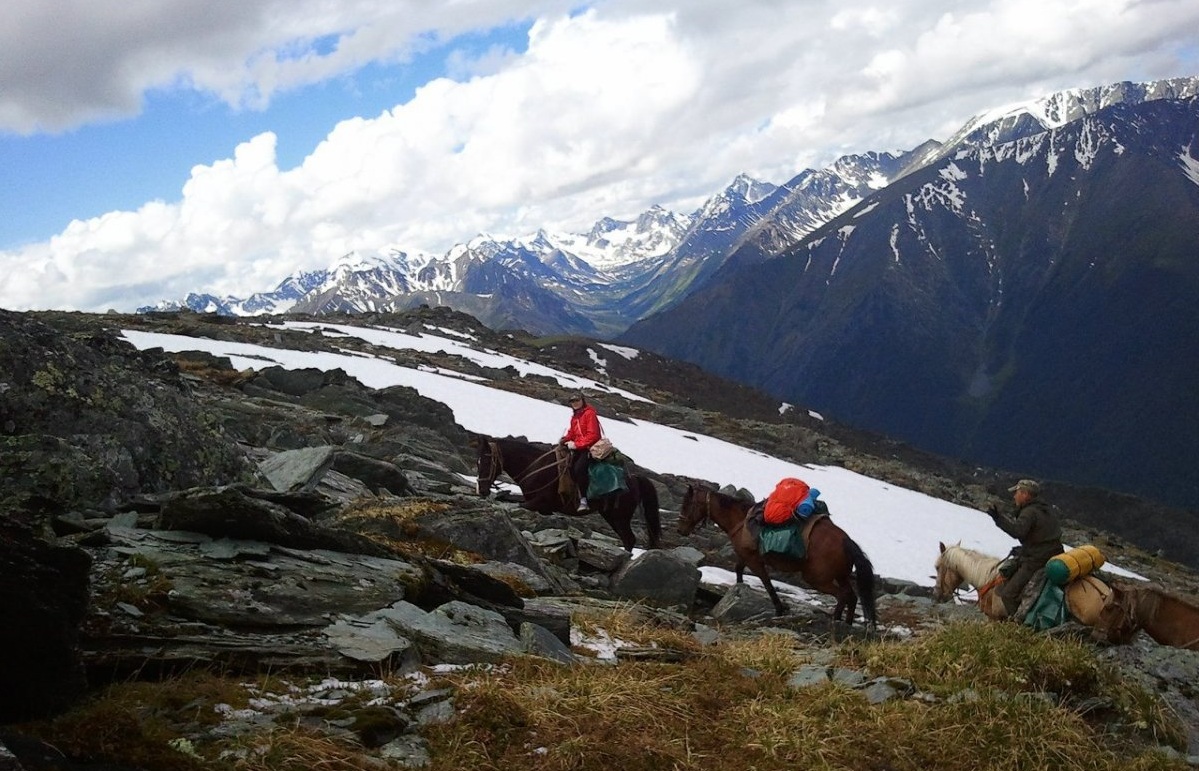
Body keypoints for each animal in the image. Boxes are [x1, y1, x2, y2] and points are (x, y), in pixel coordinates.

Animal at [472, 434, 666, 553]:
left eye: (487, 461)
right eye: (478, 462)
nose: (482, 490)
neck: (535, 468)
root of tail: (634, 478)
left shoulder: (538, 502)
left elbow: (515, 504)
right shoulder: (541, 506)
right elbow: (506, 497)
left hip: (620, 517)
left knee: (629, 539)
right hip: (611, 516)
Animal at [681, 486, 877, 628]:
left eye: (686, 505)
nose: (680, 530)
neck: (741, 520)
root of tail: (847, 541)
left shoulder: (754, 561)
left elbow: (766, 582)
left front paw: (779, 609)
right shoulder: (745, 556)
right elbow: (739, 570)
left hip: (817, 578)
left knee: (843, 595)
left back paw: (836, 620)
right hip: (840, 576)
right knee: (852, 596)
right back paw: (847, 623)